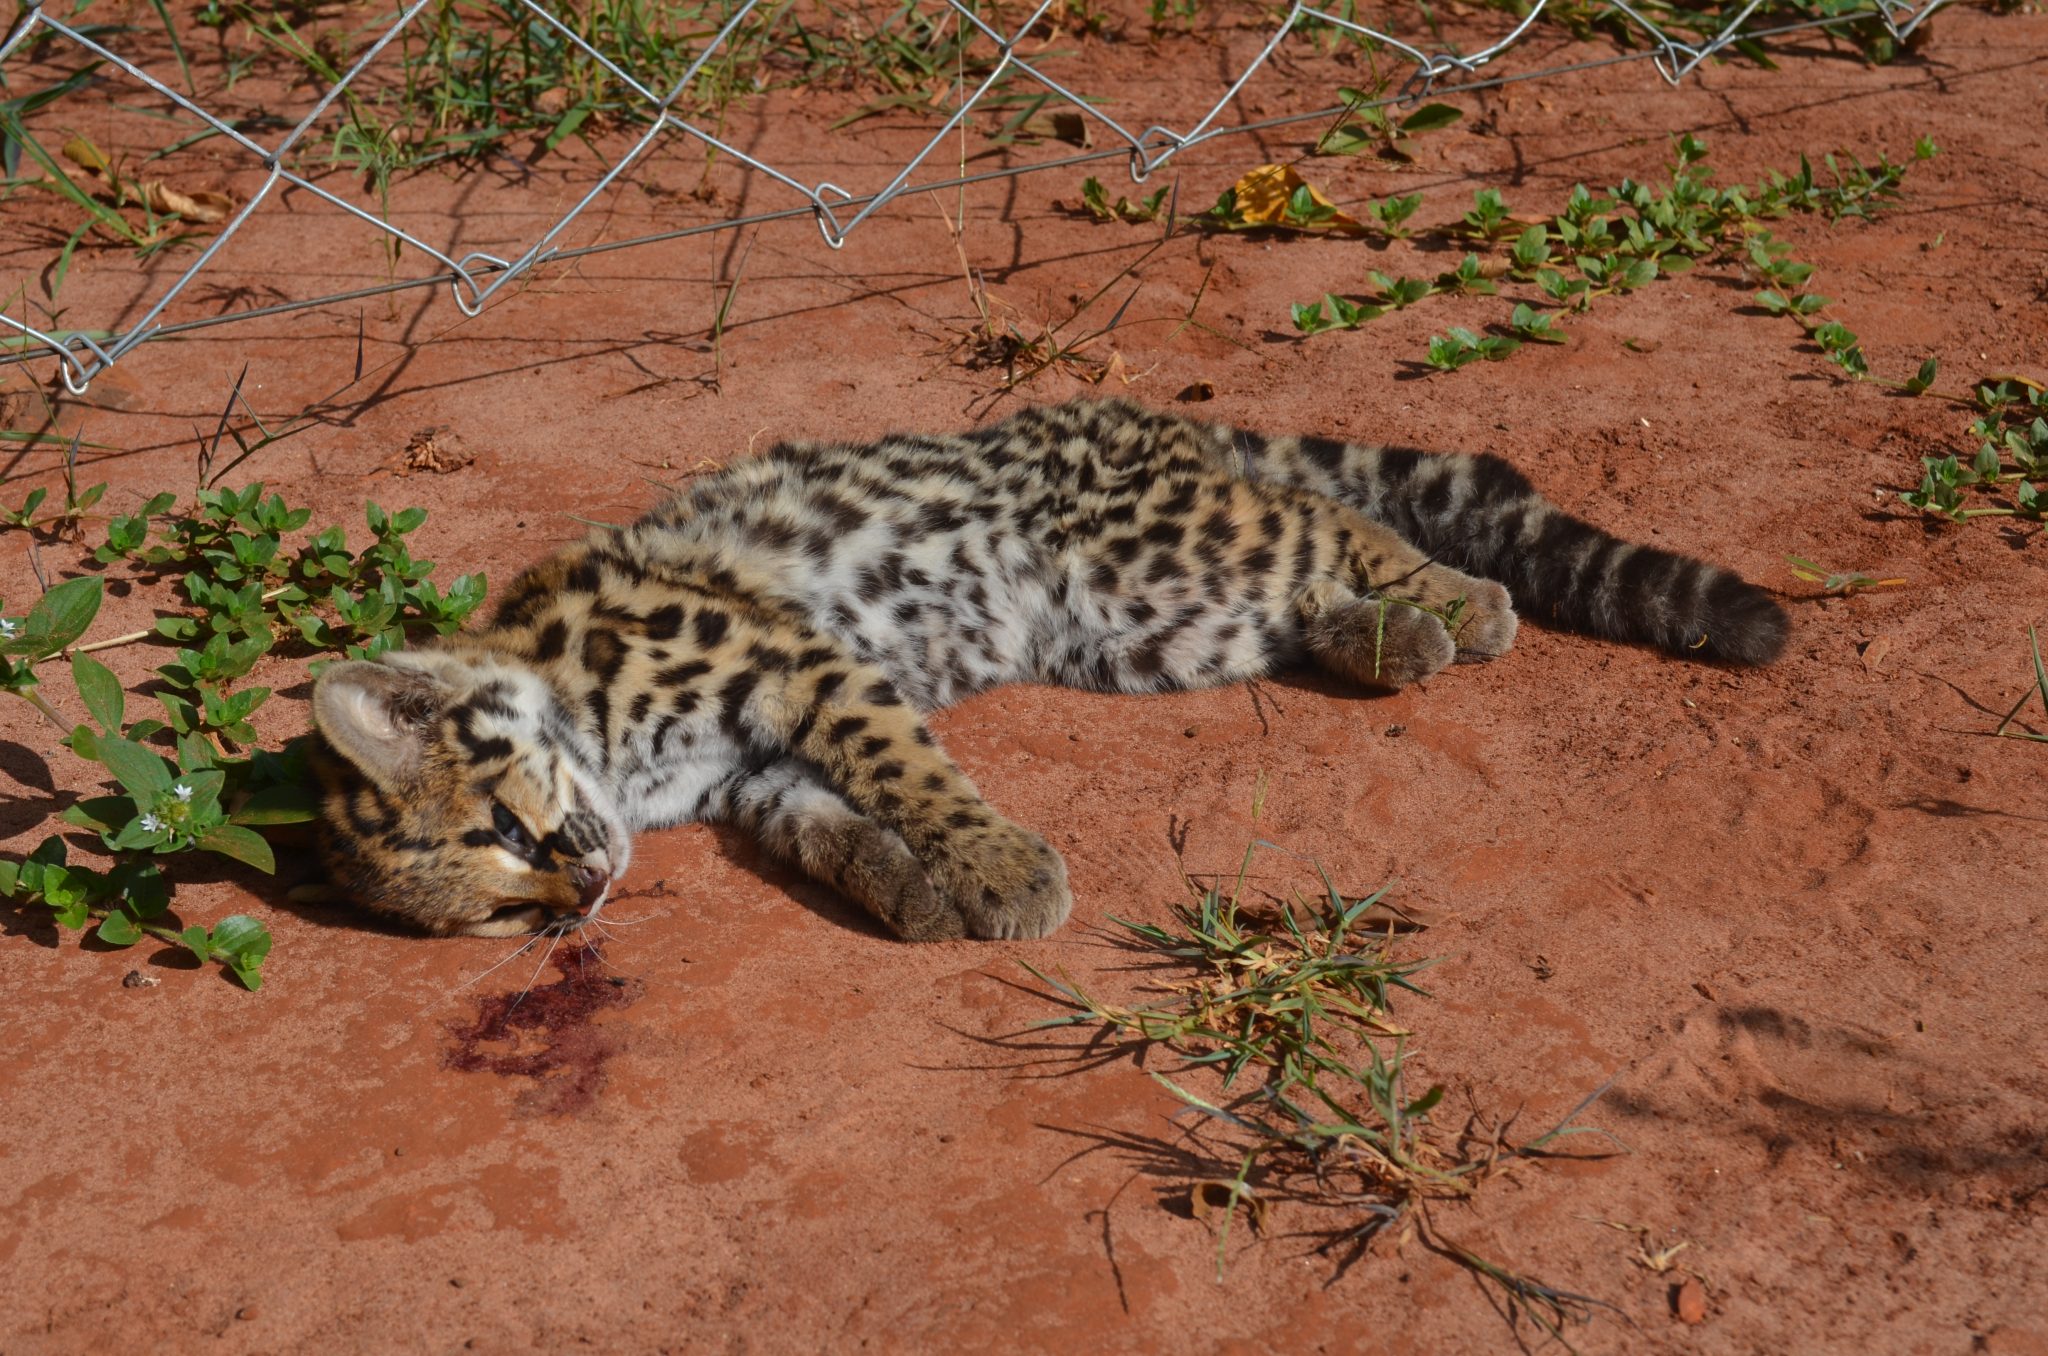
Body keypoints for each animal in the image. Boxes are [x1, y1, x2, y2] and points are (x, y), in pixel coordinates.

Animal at [309, 398, 1785, 940]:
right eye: (493, 912)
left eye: (502, 832)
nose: (583, 892)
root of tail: (1132, 415)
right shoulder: (755, 775)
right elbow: (829, 830)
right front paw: (908, 890)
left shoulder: (798, 669)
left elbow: (911, 773)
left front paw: (1000, 871)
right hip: (1145, 623)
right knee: (1298, 579)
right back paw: (1384, 638)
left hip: (1156, 543)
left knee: (1333, 518)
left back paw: (1458, 599)